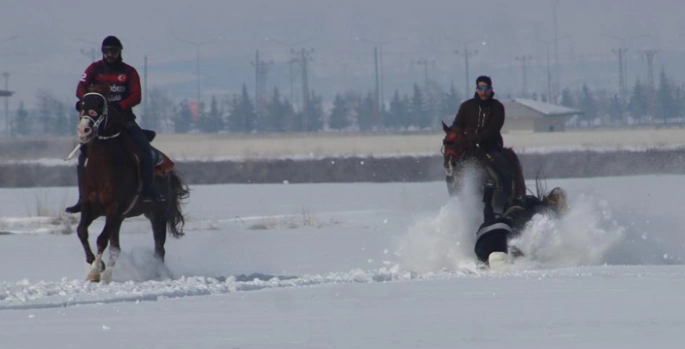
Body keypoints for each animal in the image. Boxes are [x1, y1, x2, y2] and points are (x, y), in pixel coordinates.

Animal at [74, 85, 190, 282]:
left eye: (100, 105)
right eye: (81, 105)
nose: (85, 130)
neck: (101, 166)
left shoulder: (114, 207)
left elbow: (101, 239)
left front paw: (96, 270)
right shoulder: (91, 206)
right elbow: (82, 231)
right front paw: (95, 265)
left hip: (157, 213)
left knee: (159, 249)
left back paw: (159, 273)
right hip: (121, 218)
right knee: (116, 248)